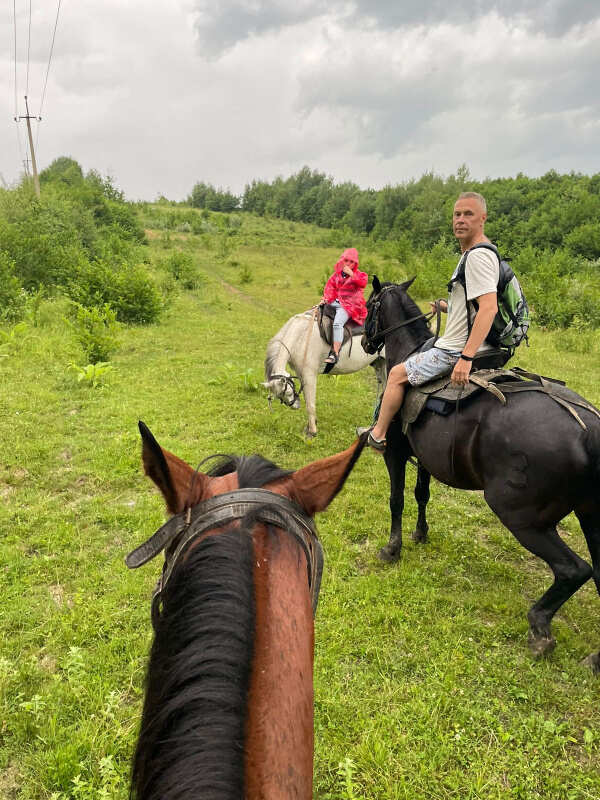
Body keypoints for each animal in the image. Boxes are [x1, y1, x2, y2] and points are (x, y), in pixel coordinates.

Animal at [264, 310, 386, 438]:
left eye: (287, 392)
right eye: (279, 397)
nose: (295, 406)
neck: (302, 335)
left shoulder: (309, 374)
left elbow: (310, 404)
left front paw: (312, 432)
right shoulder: (301, 374)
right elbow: (308, 400)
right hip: (380, 364)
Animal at [364, 276, 600, 668]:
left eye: (368, 306)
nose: (366, 341)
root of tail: (589, 428)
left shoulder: (395, 453)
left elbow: (397, 500)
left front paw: (392, 548)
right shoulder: (425, 457)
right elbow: (422, 495)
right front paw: (420, 534)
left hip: (521, 516)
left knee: (574, 569)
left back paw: (540, 627)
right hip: (589, 516)